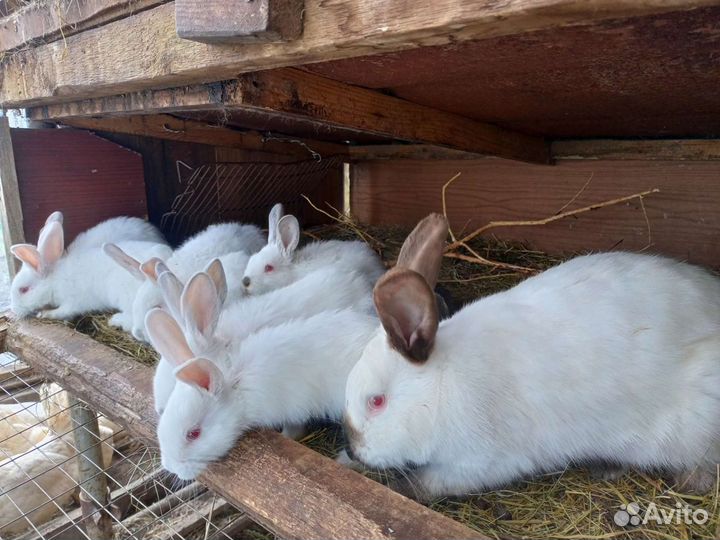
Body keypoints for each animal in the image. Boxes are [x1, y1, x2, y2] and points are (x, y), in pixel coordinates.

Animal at [343, 213, 720, 500]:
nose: (355, 447)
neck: (440, 387)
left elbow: (431, 482)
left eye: (376, 401)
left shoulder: (480, 461)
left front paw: (400, 488)